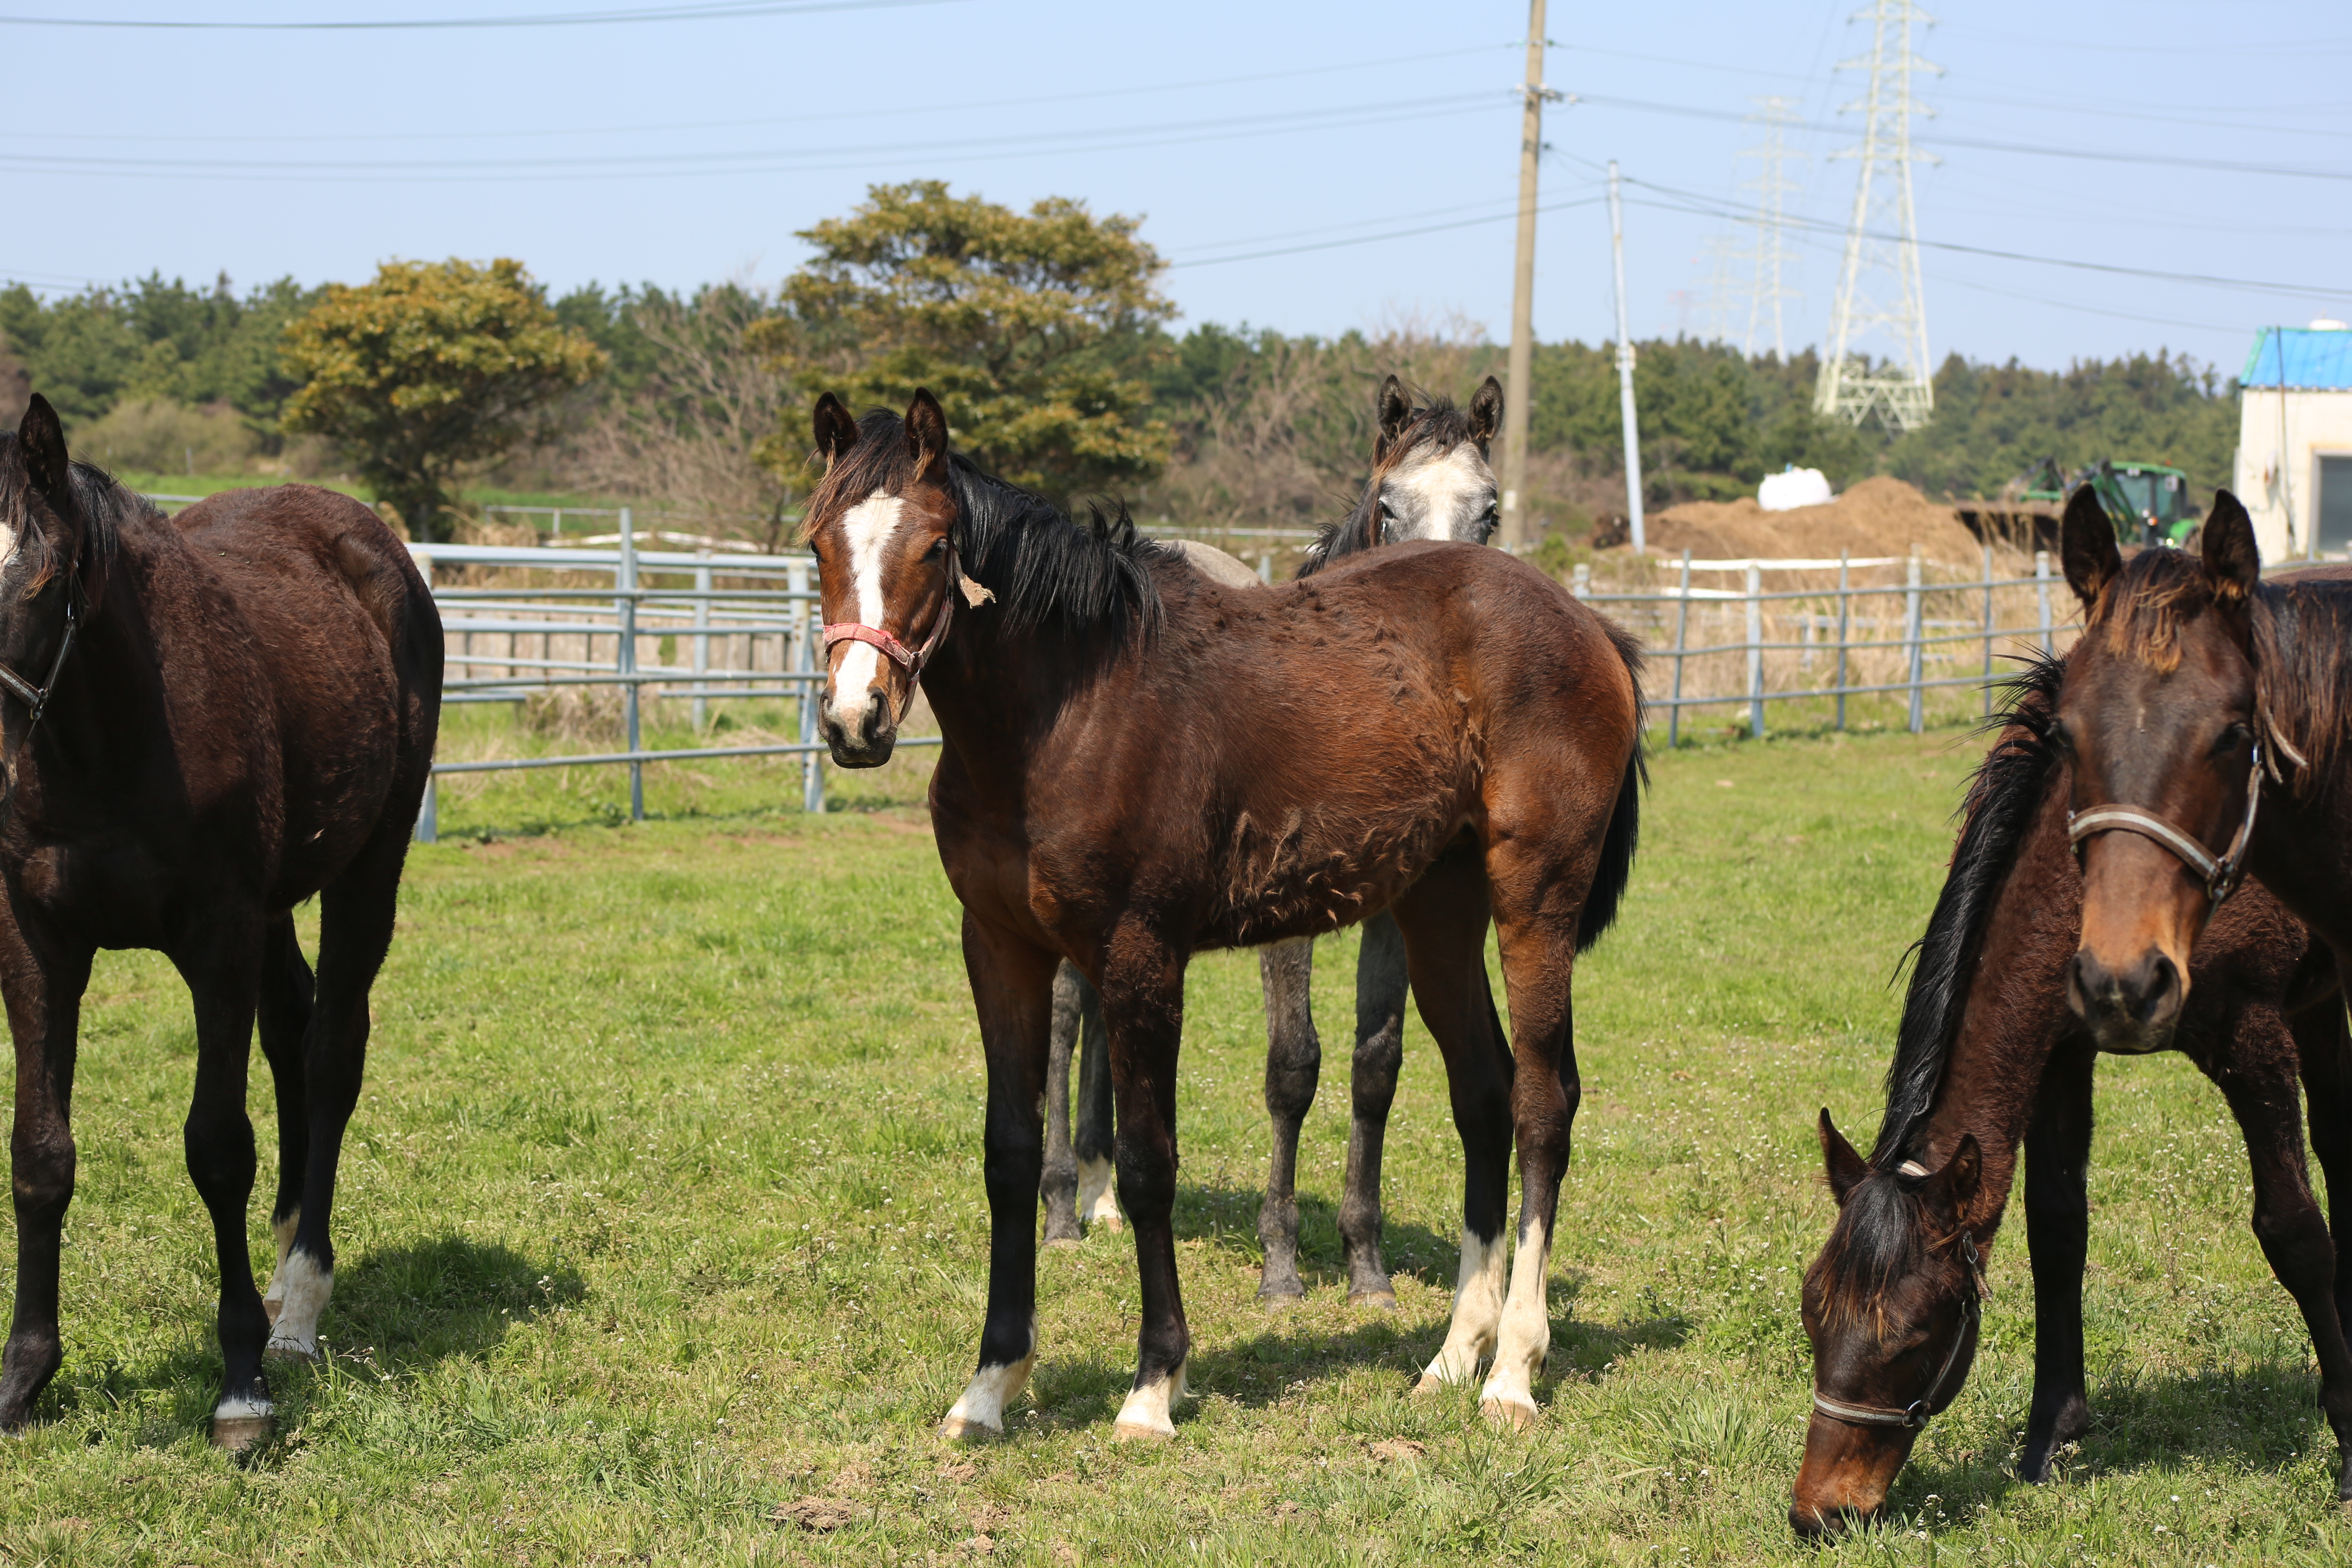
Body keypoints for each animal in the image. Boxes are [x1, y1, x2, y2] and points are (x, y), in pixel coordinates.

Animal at [0, 399, 442, 1457]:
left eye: (39, 581)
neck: (102, 739)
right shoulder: (35, 939)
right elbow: (39, 1153)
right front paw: (25, 1376)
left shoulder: (219, 937)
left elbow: (216, 1148)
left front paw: (241, 1386)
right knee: (292, 1029)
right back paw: (283, 1265)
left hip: (366, 871)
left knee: (330, 1052)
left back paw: (299, 1305)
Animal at [1787, 648, 2352, 1532]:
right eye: (1815, 1311)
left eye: (1915, 1333)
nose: (1820, 1511)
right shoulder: (2057, 1052)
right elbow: (2058, 1233)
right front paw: (2050, 1435)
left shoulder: (2254, 1039)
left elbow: (2294, 1233)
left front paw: (2348, 1436)